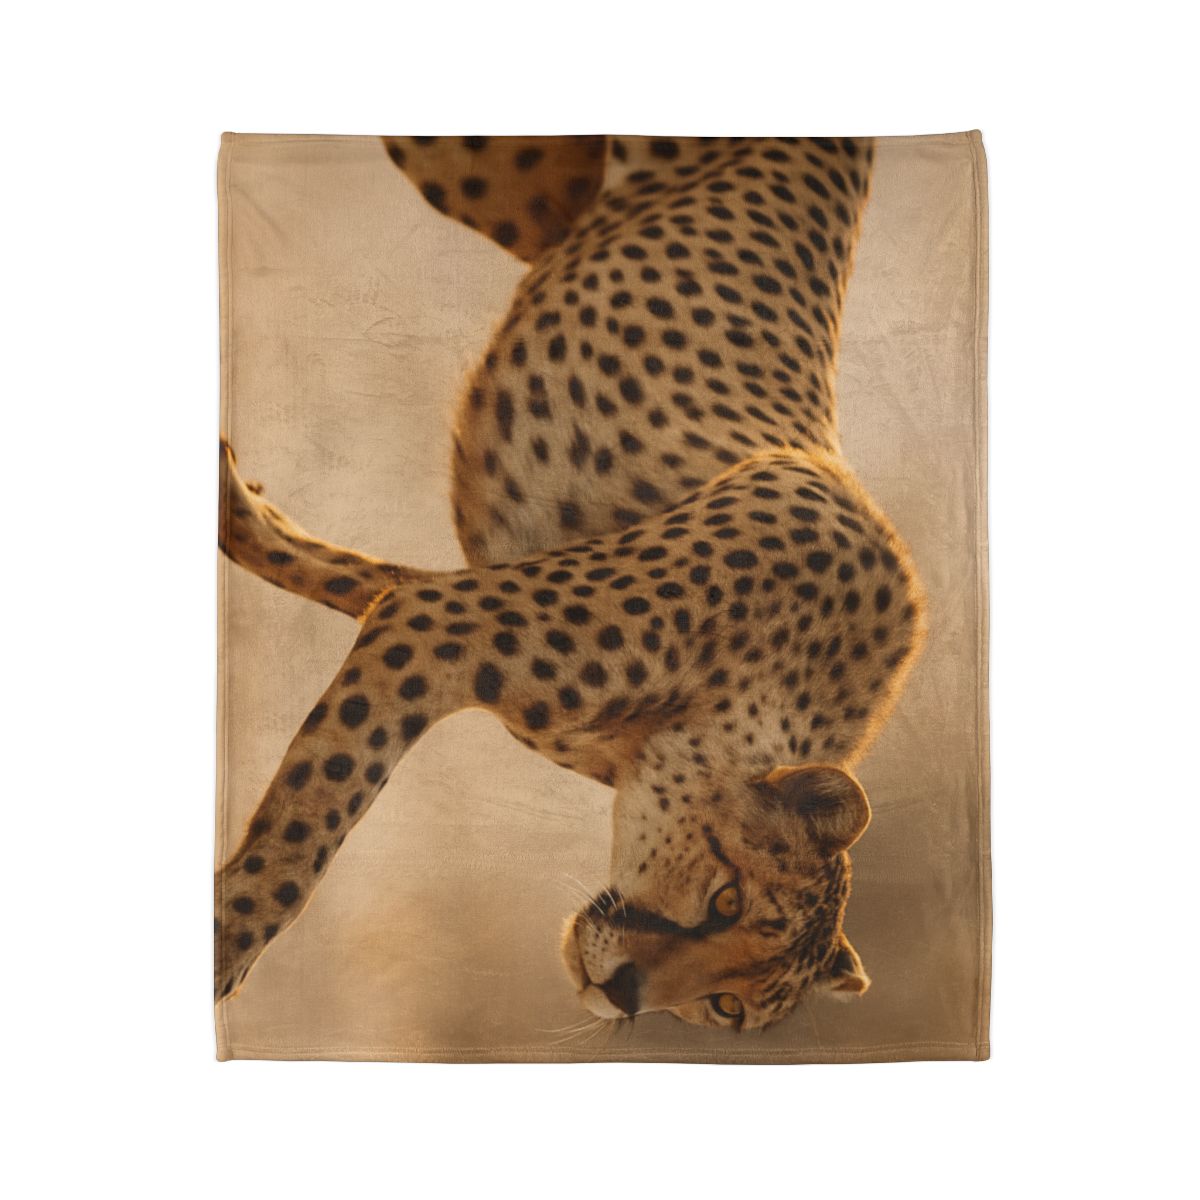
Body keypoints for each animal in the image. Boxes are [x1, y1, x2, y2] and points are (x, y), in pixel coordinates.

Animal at [216, 135, 927, 1032]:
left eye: (728, 1006)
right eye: (728, 900)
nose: (623, 994)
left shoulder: (441, 603)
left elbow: (343, 577)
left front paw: (236, 504)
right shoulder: (441, 625)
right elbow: (313, 819)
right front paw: (223, 945)